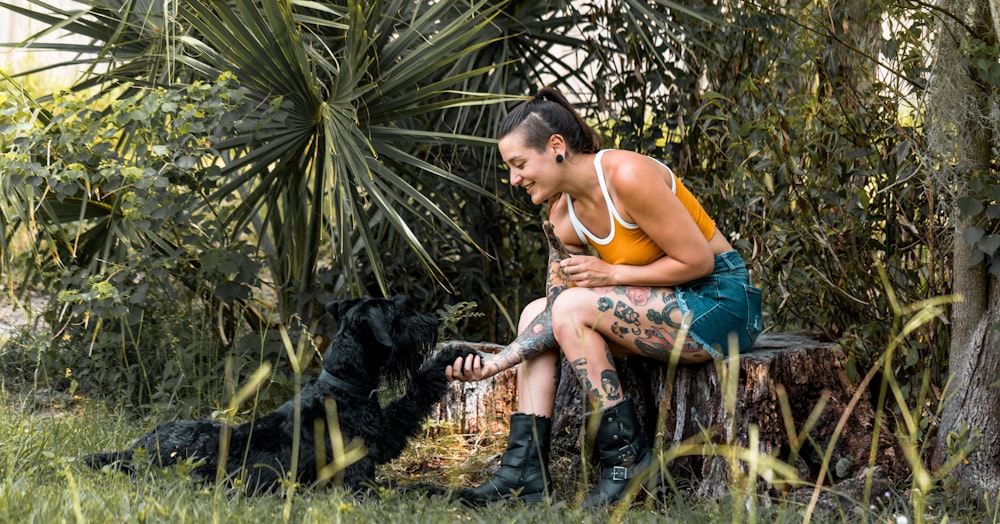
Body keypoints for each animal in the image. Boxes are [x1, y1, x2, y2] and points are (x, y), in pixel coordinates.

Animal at [86, 296, 476, 494]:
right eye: (400, 314)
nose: (432, 323)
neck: (342, 387)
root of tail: (131, 453)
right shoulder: (357, 483)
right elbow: (414, 476)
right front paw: (450, 355)